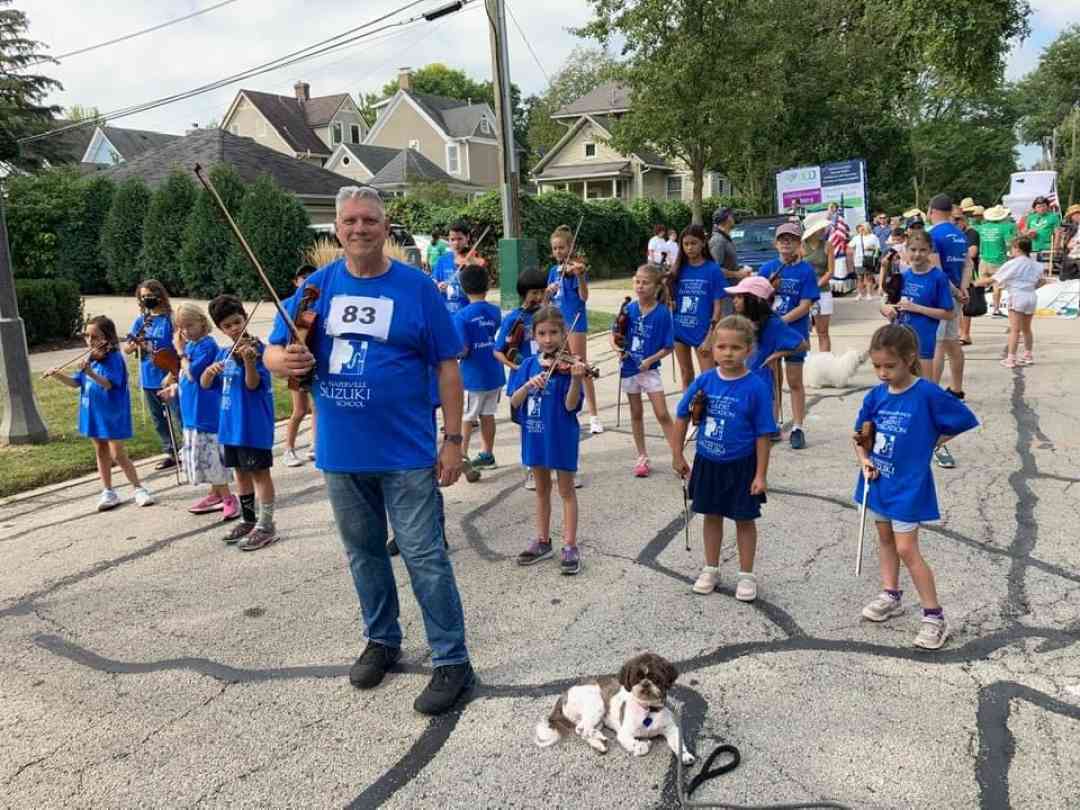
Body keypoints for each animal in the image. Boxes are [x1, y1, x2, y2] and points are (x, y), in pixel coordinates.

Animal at [531, 652, 691, 768]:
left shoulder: (671, 729)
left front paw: (685, 755)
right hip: (597, 703)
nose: (645, 683)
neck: (648, 709)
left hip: (599, 719)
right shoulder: (624, 733)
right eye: (636, 678)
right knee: (581, 728)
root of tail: (565, 693)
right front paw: (641, 746)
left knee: (583, 731)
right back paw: (598, 738)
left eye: (656, 678)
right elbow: (637, 745)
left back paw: (598, 743)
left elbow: (678, 742)